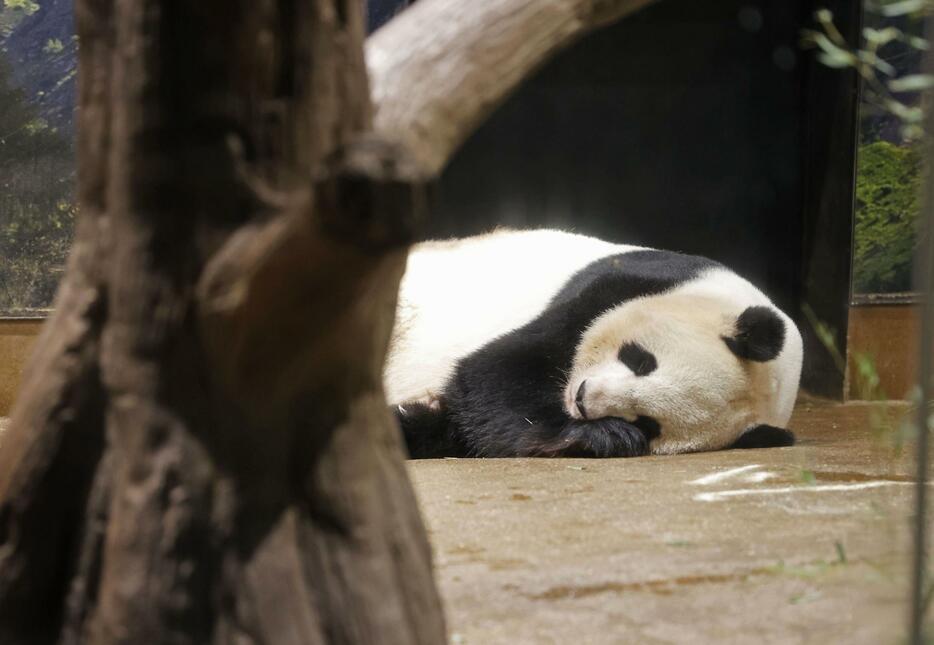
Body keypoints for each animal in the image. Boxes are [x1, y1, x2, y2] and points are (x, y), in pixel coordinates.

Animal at [384, 229, 808, 456]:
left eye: (650, 422)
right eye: (640, 360)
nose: (583, 398)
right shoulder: (621, 285)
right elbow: (493, 372)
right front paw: (597, 435)